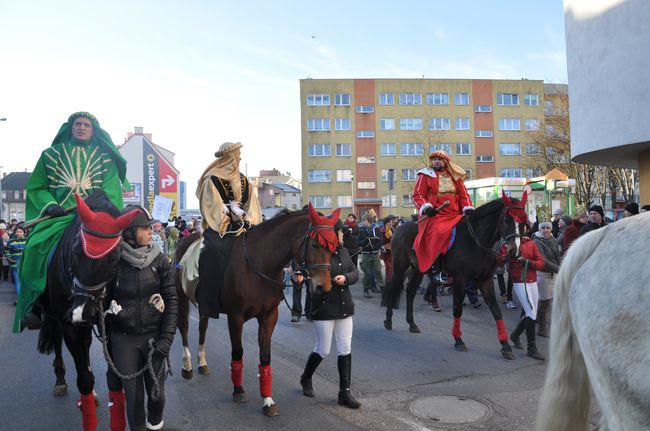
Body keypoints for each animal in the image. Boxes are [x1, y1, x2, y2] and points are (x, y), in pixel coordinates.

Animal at [35, 193, 138, 431]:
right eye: (75, 250)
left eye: (115, 257)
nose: (81, 313)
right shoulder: (69, 326)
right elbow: (83, 379)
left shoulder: (109, 325)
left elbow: (114, 377)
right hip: (53, 317)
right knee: (57, 343)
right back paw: (60, 381)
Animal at [173, 204, 340, 416]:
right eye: (315, 245)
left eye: (334, 248)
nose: (323, 288)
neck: (259, 264)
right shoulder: (235, 317)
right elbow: (238, 352)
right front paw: (238, 390)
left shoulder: (269, 317)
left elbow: (265, 356)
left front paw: (267, 400)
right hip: (181, 295)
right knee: (184, 327)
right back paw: (187, 366)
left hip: (204, 302)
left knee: (202, 327)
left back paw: (202, 363)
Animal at [380, 193, 528, 362]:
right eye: (507, 219)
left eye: (523, 221)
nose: (515, 251)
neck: (475, 241)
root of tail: (398, 229)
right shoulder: (460, 280)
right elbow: (457, 309)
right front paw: (459, 340)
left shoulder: (485, 280)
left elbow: (496, 311)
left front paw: (506, 346)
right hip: (399, 267)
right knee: (393, 289)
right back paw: (388, 320)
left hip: (418, 269)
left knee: (410, 292)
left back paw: (412, 324)